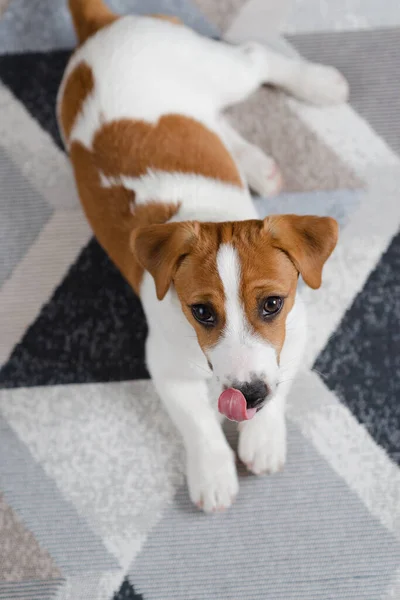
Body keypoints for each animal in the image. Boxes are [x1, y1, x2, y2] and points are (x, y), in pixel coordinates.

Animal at [58, 1, 344, 516]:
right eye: (202, 313)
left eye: (272, 304)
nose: (249, 395)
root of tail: (101, 25)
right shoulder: (164, 365)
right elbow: (196, 422)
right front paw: (212, 472)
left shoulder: (297, 330)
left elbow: (282, 382)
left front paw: (263, 438)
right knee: (222, 113)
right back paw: (259, 165)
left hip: (220, 71)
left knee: (254, 58)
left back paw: (319, 85)